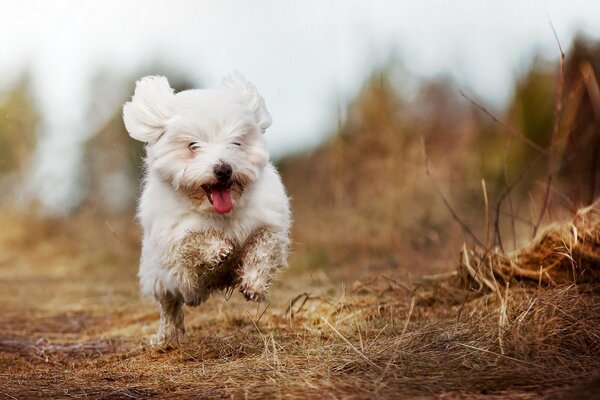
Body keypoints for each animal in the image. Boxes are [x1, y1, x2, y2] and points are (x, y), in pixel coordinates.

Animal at [122, 72, 290, 346]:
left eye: (237, 143)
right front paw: (218, 251)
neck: (219, 214)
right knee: (170, 306)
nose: (223, 169)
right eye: (192, 145)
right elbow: (192, 240)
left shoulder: (269, 223)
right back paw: (167, 338)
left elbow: (262, 249)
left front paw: (253, 284)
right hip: (158, 277)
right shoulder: (175, 238)